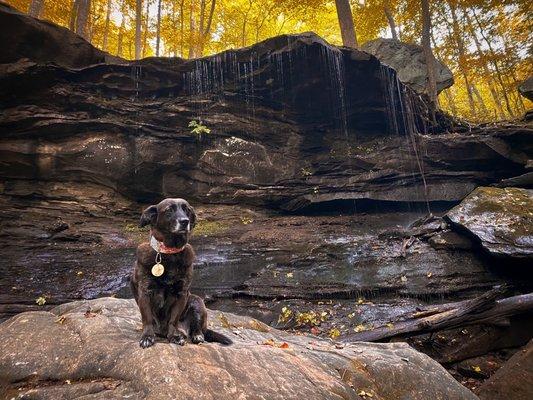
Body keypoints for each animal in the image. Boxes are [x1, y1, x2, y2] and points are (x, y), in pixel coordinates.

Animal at [129, 198, 231, 348]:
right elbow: (147, 319)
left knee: (198, 328)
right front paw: (147, 336)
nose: (185, 221)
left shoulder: (181, 294)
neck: (169, 254)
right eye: (169, 210)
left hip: (197, 301)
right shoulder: (145, 292)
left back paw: (196, 335)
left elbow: (173, 319)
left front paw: (174, 336)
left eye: (186, 210)